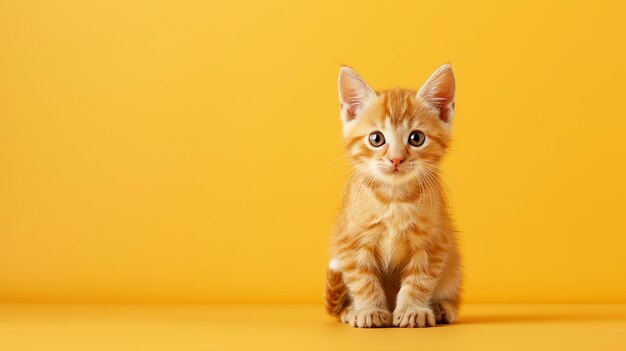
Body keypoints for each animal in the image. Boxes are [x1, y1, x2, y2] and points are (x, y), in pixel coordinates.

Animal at [324, 64, 460, 328]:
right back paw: (350, 310)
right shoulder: (350, 241)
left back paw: (441, 307)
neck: (393, 200)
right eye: (376, 138)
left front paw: (412, 310)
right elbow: (362, 279)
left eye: (416, 138)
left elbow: (420, 279)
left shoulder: (434, 243)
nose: (396, 159)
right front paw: (370, 310)